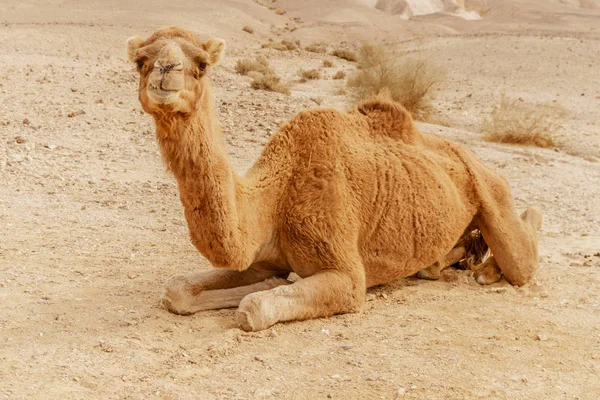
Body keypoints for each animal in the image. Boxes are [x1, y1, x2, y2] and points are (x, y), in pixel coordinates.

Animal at [126, 27, 544, 332]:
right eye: (140, 61)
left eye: (201, 64)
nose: (166, 70)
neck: (276, 197)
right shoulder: (262, 256)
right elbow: (177, 290)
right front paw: (270, 282)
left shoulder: (346, 273)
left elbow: (253, 307)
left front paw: (272, 288)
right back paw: (446, 263)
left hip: (491, 190)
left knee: (522, 253)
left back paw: (489, 269)